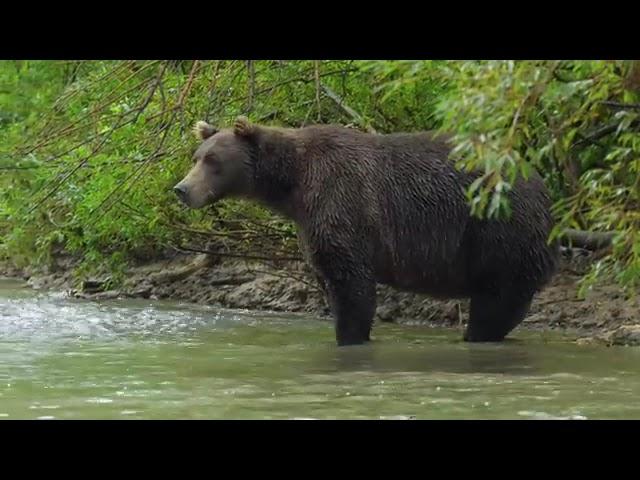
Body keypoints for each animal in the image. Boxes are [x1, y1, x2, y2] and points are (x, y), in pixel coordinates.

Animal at [172, 118, 556, 346]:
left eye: (213, 161)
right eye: (196, 156)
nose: (181, 189)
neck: (293, 184)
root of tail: (540, 181)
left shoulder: (341, 201)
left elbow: (351, 285)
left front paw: (349, 336)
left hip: (496, 229)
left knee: (497, 297)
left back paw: (476, 334)